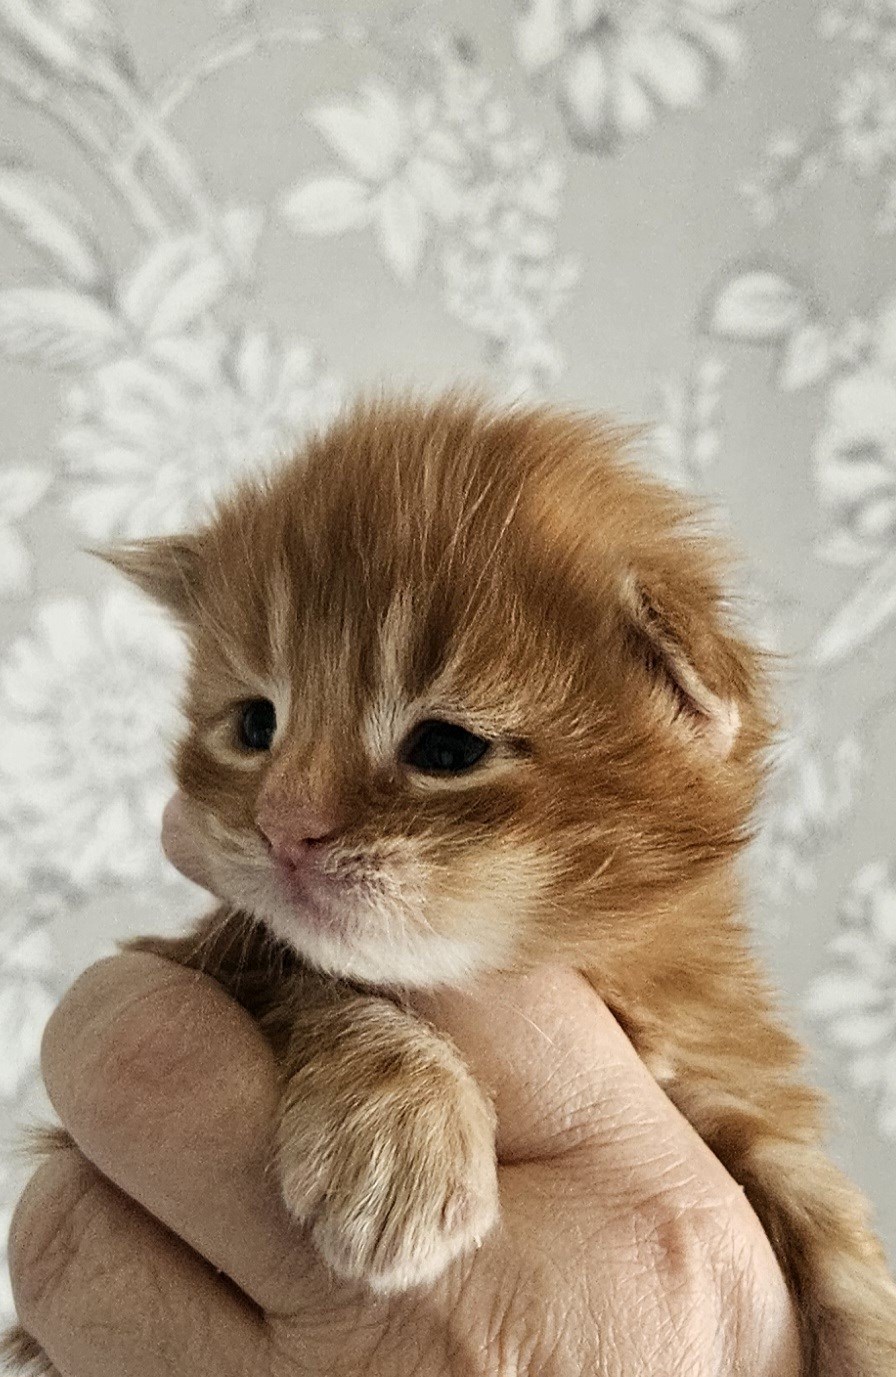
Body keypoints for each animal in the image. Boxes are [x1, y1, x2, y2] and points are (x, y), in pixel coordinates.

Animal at [5, 394, 896, 1375]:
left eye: (444, 748)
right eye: (254, 725)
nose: (283, 824)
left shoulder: (732, 1078)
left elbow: (820, 1208)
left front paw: (866, 1319)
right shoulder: (206, 957)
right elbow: (308, 971)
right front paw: (398, 1134)